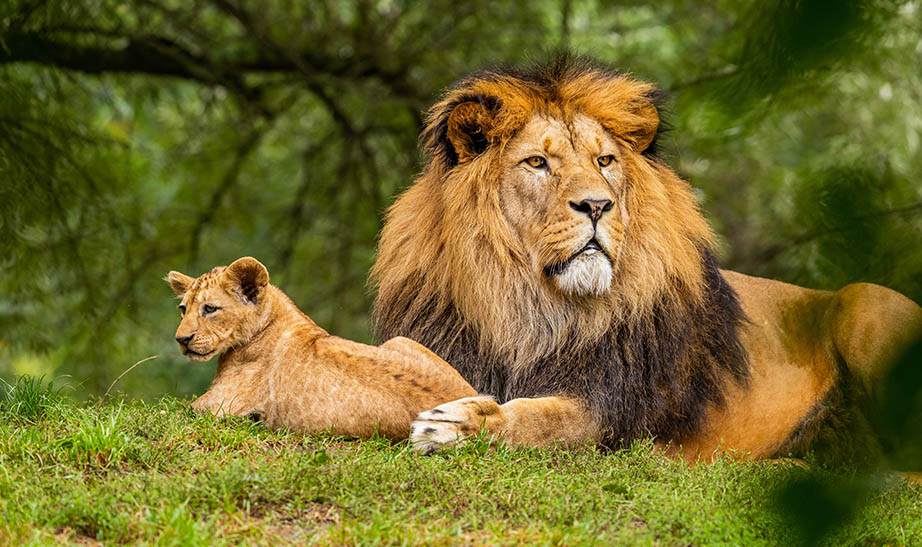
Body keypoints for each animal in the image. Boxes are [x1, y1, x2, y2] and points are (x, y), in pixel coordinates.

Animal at [166, 256, 476, 438]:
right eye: (182, 309)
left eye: (209, 309)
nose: (181, 339)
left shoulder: (216, 406)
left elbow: (175, 411)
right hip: (399, 340)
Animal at [370, 56, 922, 463]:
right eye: (537, 162)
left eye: (604, 161)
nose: (597, 205)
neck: (528, 306)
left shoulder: (608, 409)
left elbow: (538, 419)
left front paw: (457, 425)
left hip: (864, 302)